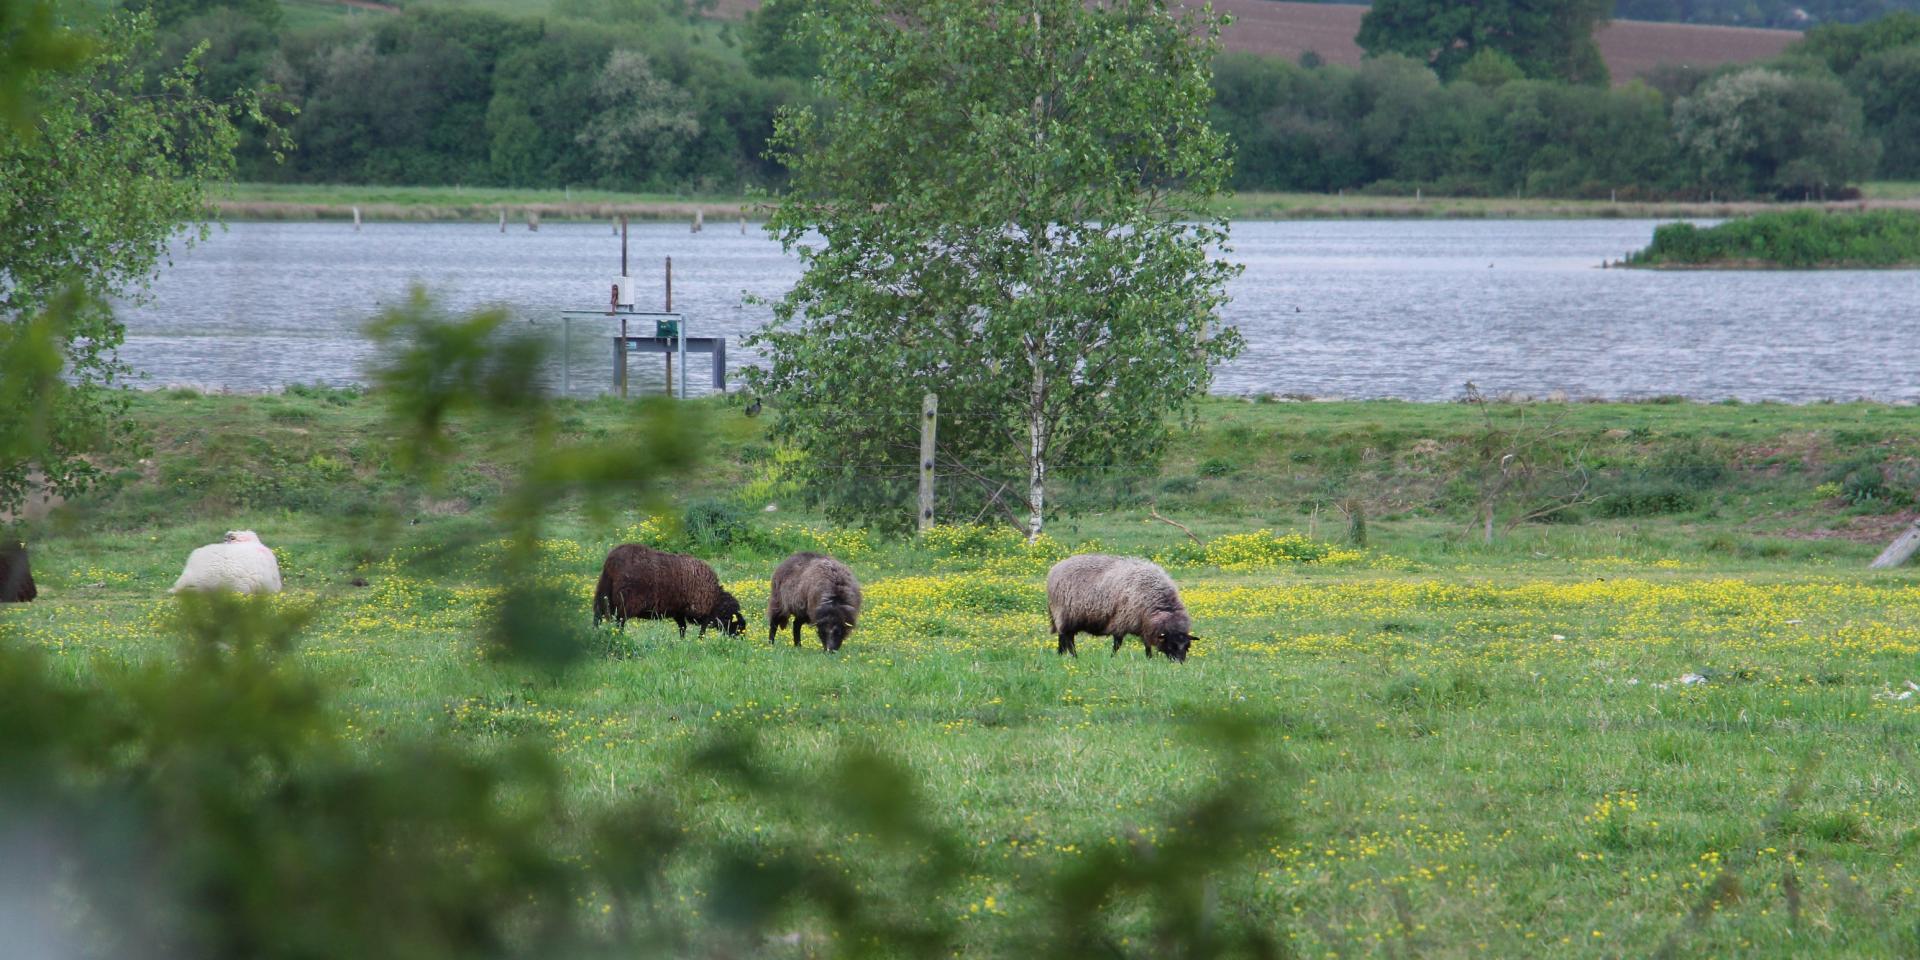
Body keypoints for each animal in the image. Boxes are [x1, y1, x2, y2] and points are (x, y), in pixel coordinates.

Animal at [592, 544, 746, 638]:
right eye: (730, 617)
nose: (741, 636)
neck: (715, 598)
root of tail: (612, 562)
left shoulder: (678, 611)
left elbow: (683, 628)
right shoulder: (702, 612)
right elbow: (701, 630)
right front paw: (699, 642)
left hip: (603, 594)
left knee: (597, 616)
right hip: (625, 603)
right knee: (619, 623)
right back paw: (619, 637)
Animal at [1045, 554, 1195, 662]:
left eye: (1187, 647)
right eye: (1171, 645)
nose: (1180, 663)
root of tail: (1055, 568)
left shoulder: (1144, 625)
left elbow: (1146, 644)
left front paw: (1149, 659)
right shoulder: (1121, 620)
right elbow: (1117, 644)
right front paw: (1112, 658)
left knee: (1063, 637)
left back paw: (1061, 654)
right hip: (1065, 614)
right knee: (1067, 639)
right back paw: (1074, 657)